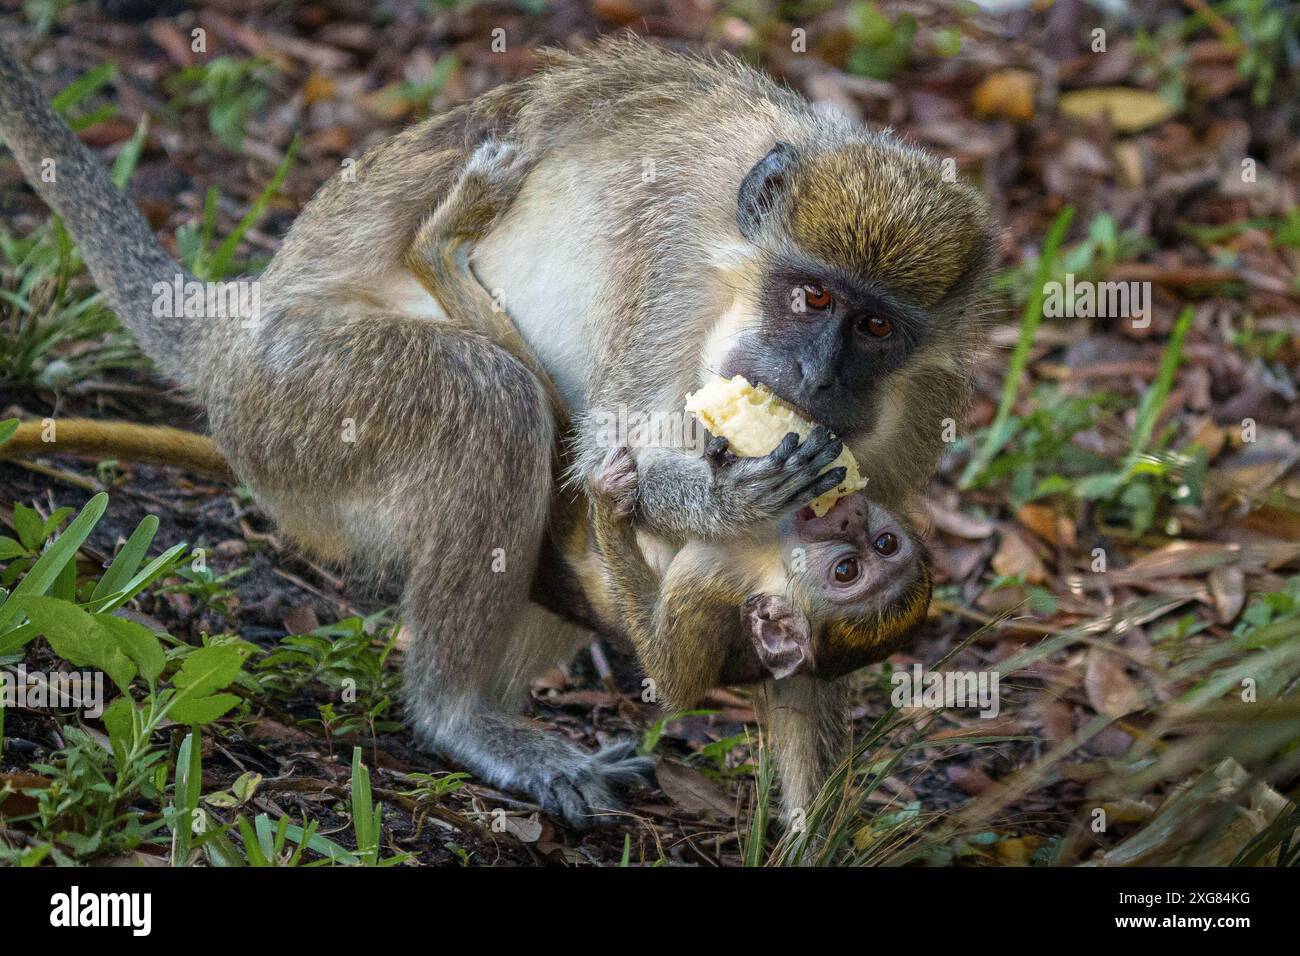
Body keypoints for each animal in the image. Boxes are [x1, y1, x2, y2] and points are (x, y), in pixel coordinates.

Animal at [0, 35, 991, 826]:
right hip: (294, 402)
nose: (818, 379)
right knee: (494, 402)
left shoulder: (921, 401)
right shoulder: (670, 262)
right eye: (811, 297)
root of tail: (236, 336)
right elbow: (603, 453)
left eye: (875, 327)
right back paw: (456, 713)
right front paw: (729, 495)